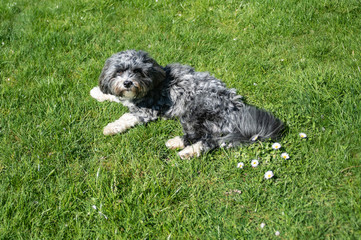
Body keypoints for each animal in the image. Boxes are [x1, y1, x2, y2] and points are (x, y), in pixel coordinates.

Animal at [89, 49, 282, 158]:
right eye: (119, 72)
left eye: (137, 71)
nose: (127, 83)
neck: (154, 81)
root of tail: (236, 110)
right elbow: (115, 96)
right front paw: (98, 92)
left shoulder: (146, 110)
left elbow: (126, 117)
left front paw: (111, 127)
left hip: (194, 112)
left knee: (207, 140)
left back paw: (182, 148)